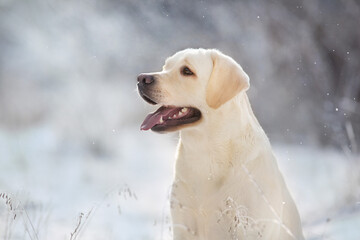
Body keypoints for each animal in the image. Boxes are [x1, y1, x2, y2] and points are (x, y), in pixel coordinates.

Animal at [137, 47, 304, 239]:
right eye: (165, 67)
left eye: (187, 71)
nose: (141, 78)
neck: (207, 152)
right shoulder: (183, 224)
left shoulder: (249, 227)